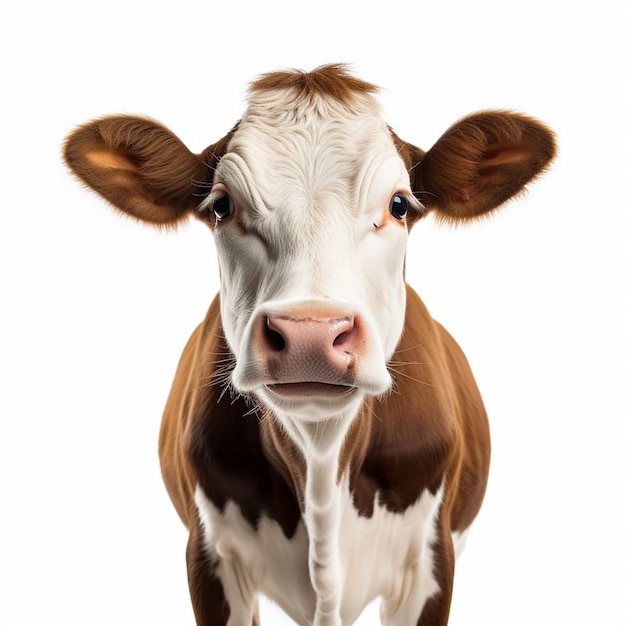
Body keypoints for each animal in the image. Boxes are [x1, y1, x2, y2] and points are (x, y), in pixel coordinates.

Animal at [62, 64, 552, 624]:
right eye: (222, 205)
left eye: (399, 205)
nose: (310, 335)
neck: (320, 468)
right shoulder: (210, 557)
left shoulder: (430, 561)